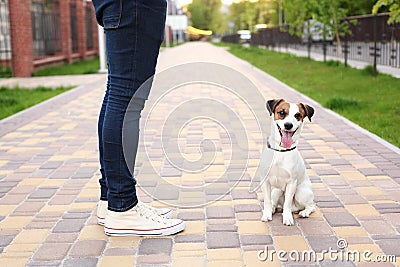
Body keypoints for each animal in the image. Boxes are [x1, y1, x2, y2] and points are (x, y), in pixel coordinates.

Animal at [260, 99, 316, 227]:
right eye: (281, 112)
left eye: (297, 115)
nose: (288, 125)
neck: (281, 150)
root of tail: (295, 208)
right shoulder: (265, 181)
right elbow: (267, 201)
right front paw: (267, 214)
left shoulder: (292, 183)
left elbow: (287, 203)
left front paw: (287, 218)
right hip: (276, 191)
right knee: (274, 202)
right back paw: (273, 209)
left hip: (301, 192)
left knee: (311, 205)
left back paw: (304, 212)